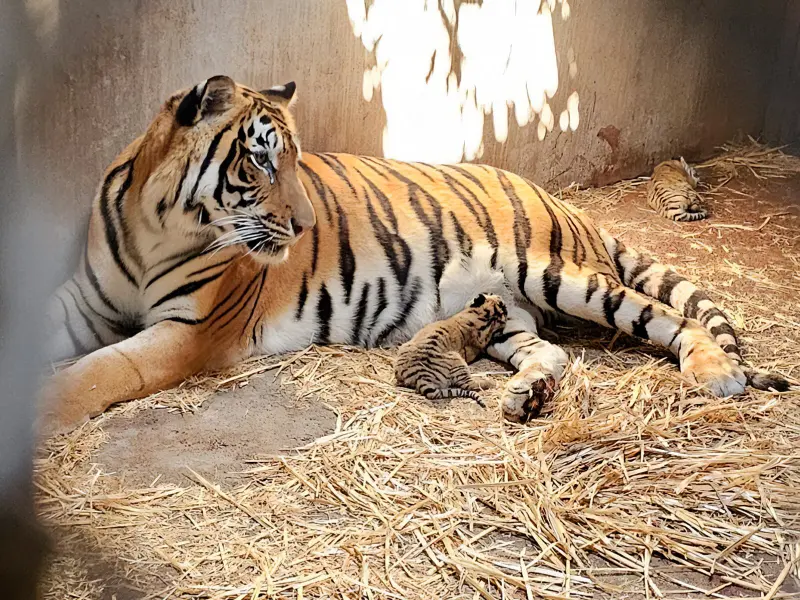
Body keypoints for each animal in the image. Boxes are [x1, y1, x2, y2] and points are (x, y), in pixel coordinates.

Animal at [39, 75, 790, 435]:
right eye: (263, 161)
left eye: (295, 160)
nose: (304, 224)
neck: (154, 223)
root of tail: (564, 202)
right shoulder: (82, 303)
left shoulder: (191, 330)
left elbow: (101, 372)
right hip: (505, 314)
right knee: (551, 351)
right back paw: (527, 395)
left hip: (560, 276)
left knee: (674, 320)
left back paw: (716, 375)